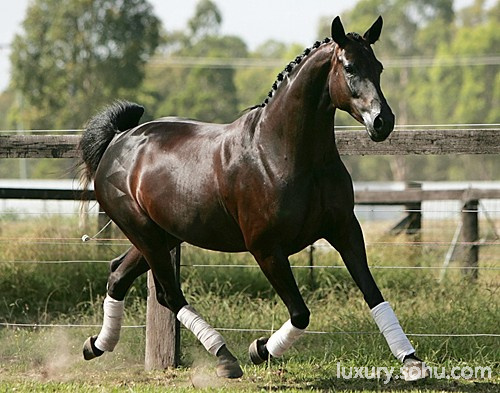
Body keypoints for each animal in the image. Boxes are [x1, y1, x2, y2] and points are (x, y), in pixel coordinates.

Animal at [80, 16, 428, 380]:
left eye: (378, 66)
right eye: (349, 67)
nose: (382, 122)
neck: (280, 154)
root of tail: (118, 140)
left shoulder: (344, 230)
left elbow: (373, 293)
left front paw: (411, 361)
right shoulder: (266, 248)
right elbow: (300, 313)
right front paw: (259, 350)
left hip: (164, 235)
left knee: (120, 275)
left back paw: (96, 345)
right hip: (145, 233)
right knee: (169, 294)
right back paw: (225, 357)